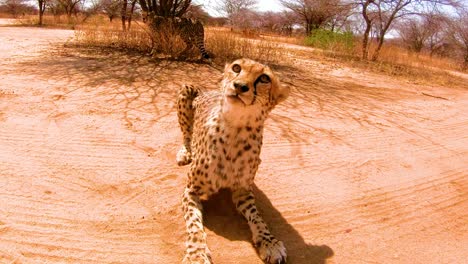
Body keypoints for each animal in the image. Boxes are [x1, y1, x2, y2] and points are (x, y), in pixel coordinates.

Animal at [177, 58, 290, 262]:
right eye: (236, 67)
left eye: (264, 78)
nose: (239, 86)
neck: (235, 131)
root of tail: (209, 91)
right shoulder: (190, 190)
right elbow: (194, 225)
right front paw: (196, 254)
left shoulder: (243, 191)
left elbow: (257, 217)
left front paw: (269, 242)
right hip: (186, 89)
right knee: (187, 134)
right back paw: (185, 152)